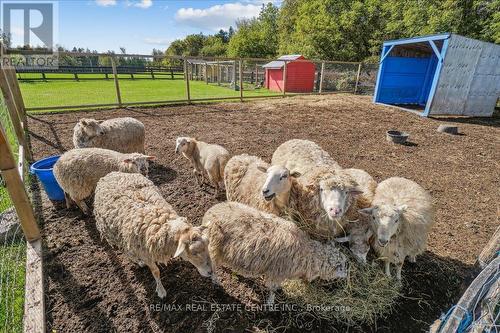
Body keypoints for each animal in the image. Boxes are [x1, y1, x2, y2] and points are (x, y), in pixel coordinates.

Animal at [200, 201, 348, 304]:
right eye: (342, 268)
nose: (347, 276)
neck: (306, 253)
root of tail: (210, 212)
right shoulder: (276, 272)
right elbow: (272, 289)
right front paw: (270, 303)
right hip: (214, 247)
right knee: (212, 267)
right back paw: (216, 281)